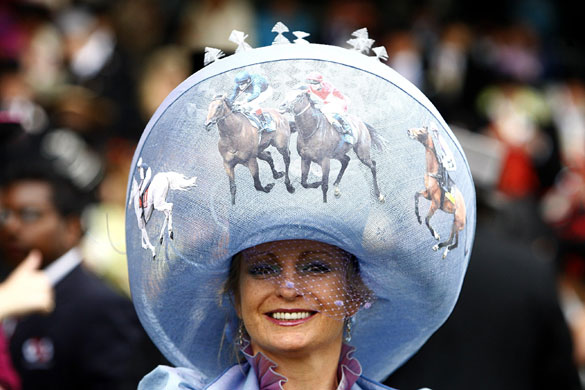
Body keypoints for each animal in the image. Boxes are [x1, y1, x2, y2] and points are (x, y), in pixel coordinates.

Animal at [406, 125, 466, 258]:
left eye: (421, 130)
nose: (408, 131)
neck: (434, 170)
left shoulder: (436, 203)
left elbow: (427, 219)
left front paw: (436, 235)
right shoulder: (428, 195)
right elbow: (416, 196)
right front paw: (418, 217)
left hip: (456, 223)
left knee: (453, 241)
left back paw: (439, 246)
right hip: (455, 223)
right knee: (454, 242)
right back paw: (445, 250)